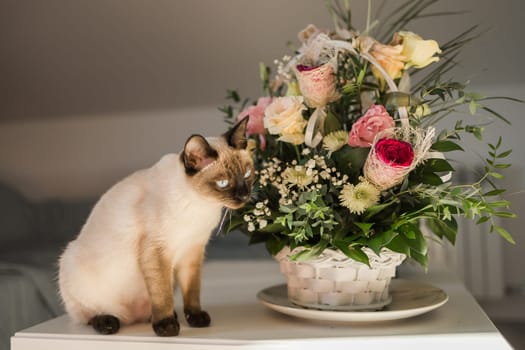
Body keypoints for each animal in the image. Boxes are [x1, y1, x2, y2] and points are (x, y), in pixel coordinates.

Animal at [58, 117, 253, 336]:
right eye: (223, 183)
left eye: (247, 174)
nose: (244, 195)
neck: (201, 205)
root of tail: (130, 319)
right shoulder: (157, 251)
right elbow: (162, 295)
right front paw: (166, 327)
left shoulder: (192, 250)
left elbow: (192, 291)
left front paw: (195, 318)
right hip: (71, 263)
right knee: (87, 315)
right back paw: (108, 323)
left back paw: (154, 317)